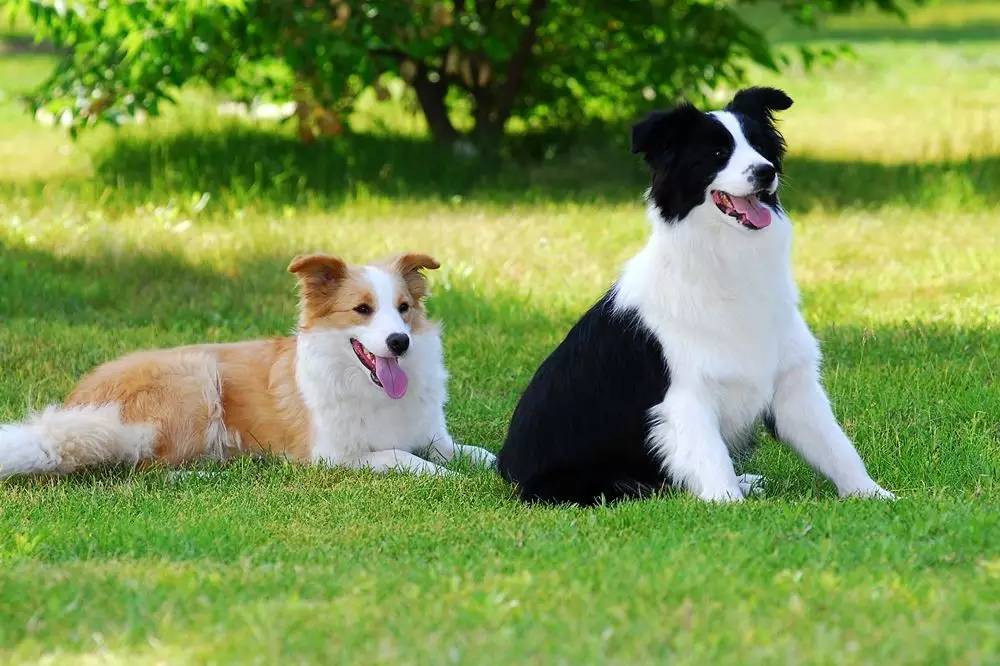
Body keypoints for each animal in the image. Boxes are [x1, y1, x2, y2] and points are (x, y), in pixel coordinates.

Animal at [0, 252, 498, 474]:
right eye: (362, 310)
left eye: (404, 308)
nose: (399, 342)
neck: (363, 383)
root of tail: (79, 404)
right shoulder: (334, 454)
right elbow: (405, 457)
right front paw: (448, 479)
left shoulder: (433, 437)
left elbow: (478, 453)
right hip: (196, 378)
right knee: (146, 465)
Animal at [496, 87, 896, 504]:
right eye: (718, 153)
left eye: (760, 146)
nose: (765, 171)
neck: (728, 265)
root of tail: (505, 468)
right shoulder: (685, 394)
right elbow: (711, 458)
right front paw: (730, 505)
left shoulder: (793, 384)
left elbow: (836, 446)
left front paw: (874, 495)